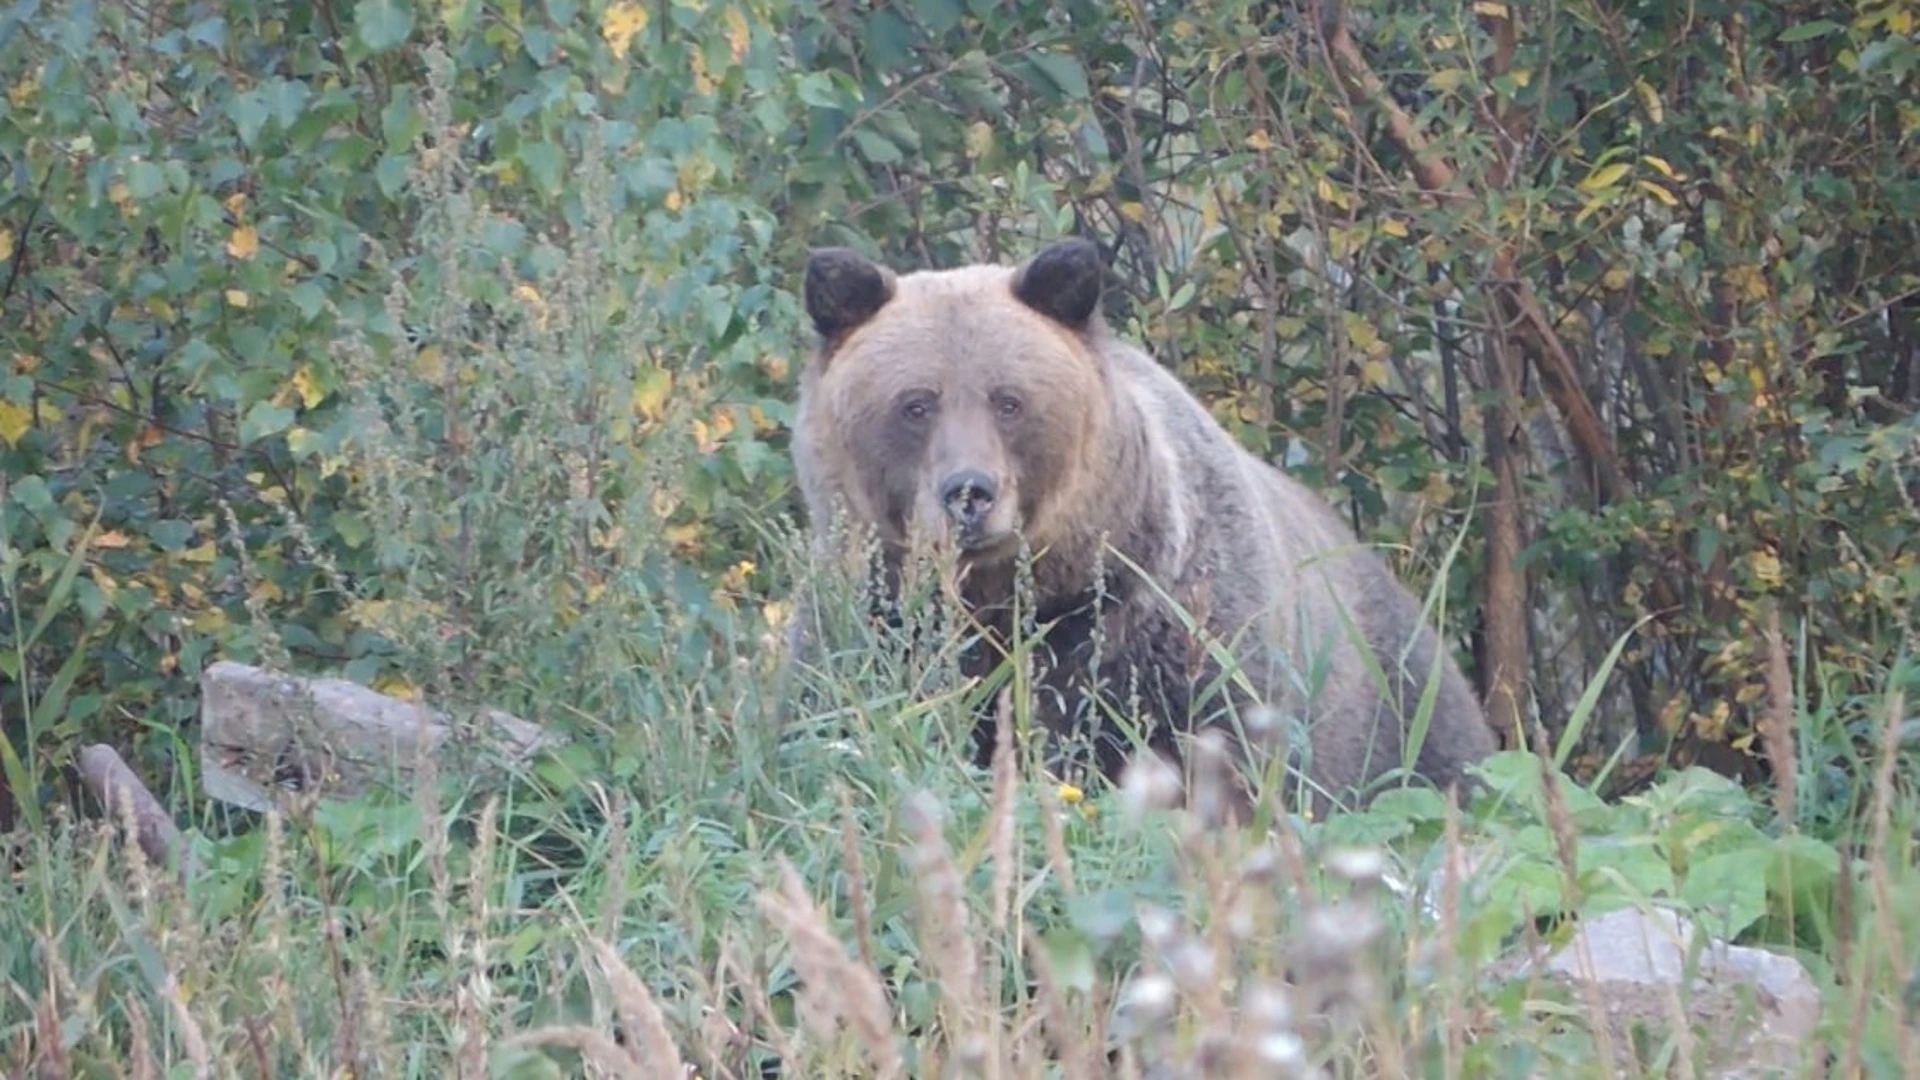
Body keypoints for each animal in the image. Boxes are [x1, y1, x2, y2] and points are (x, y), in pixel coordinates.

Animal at [779, 233, 1497, 807]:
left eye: (1009, 400)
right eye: (915, 403)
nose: (970, 493)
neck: (1013, 596)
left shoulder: (1164, 633)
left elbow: (1218, 750)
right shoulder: (873, 623)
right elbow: (836, 721)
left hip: (1404, 701)